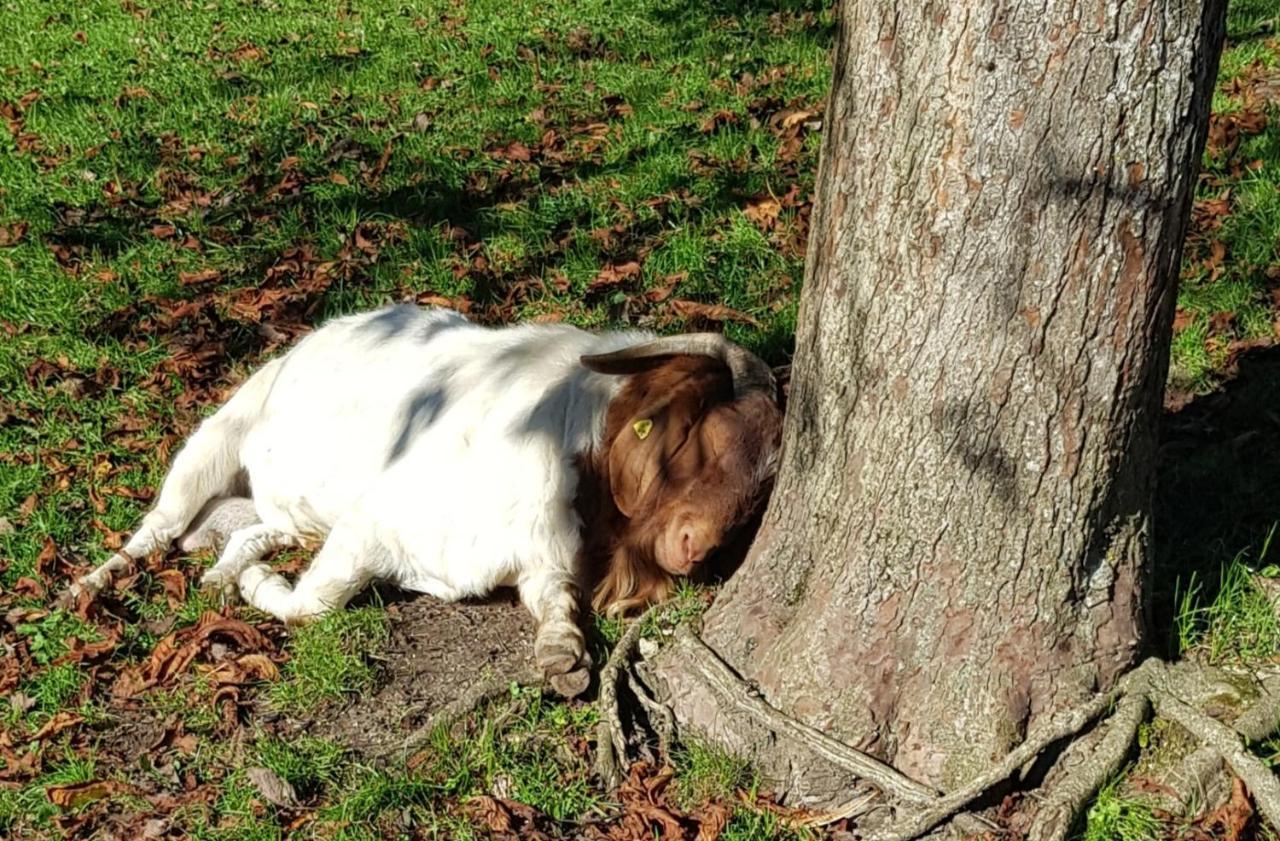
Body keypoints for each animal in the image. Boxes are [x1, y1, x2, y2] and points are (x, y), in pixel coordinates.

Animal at [77, 304, 788, 691]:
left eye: (762, 489)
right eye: (701, 436)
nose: (695, 550)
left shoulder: (541, 559)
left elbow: (555, 603)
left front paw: (562, 656)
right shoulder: (370, 528)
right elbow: (311, 605)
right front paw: (261, 586)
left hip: (294, 512)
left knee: (260, 529)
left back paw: (223, 573)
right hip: (215, 437)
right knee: (159, 525)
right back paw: (91, 586)